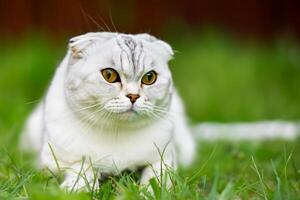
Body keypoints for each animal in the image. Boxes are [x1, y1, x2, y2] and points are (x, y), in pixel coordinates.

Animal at [20, 32, 195, 191]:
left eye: (149, 77)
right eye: (109, 75)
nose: (133, 96)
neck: (117, 133)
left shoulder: (166, 159)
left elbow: (156, 177)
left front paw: (149, 192)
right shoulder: (51, 163)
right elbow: (83, 166)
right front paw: (78, 188)